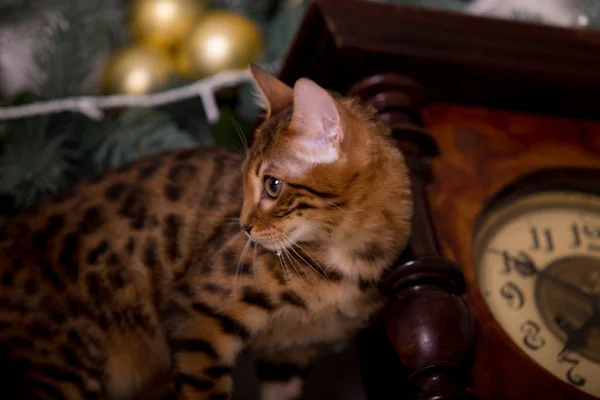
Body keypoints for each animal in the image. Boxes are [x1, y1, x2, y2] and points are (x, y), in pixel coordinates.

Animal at [0, 64, 412, 398]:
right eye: (244, 184)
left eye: (273, 186)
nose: (244, 226)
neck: (347, 260)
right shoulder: (196, 314)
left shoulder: (291, 353)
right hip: (63, 366)